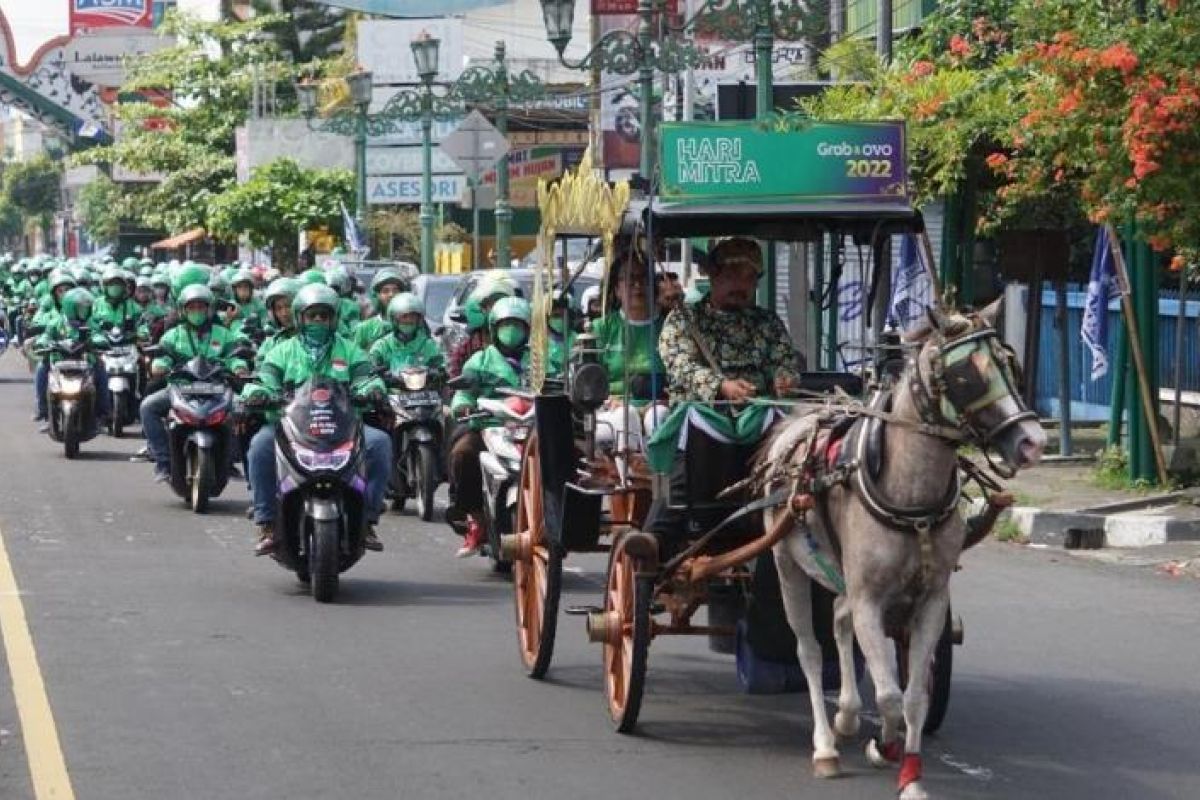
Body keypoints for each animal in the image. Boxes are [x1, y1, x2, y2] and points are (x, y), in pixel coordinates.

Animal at [763, 302, 1046, 800]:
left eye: (1010, 363)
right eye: (965, 375)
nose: (1034, 442)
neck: (910, 499)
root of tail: (796, 416)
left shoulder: (930, 600)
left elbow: (913, 696)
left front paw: (907, 770)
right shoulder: (870, 601)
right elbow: (889, 695)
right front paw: (883, 746)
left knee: (838, 620)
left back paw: (847, 716)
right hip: (786, 565)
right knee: (809, 651)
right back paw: (825, 745)